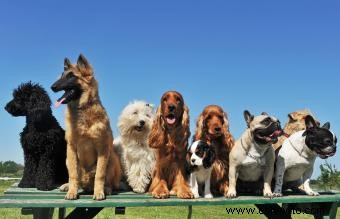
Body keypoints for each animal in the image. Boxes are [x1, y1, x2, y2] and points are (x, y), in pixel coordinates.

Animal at [51, 54, 121, 200]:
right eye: (62, 75)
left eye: (71, 76)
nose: (52, 87)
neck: (82, 108)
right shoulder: (71, 148)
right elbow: (73, 175)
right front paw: (72, 191)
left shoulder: (102, 149)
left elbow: (100, 174)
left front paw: (99, 191)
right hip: (68, 160)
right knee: (77, 178)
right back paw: (68, 186)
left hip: (112, 158)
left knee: (108, 181)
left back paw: (106, 188)